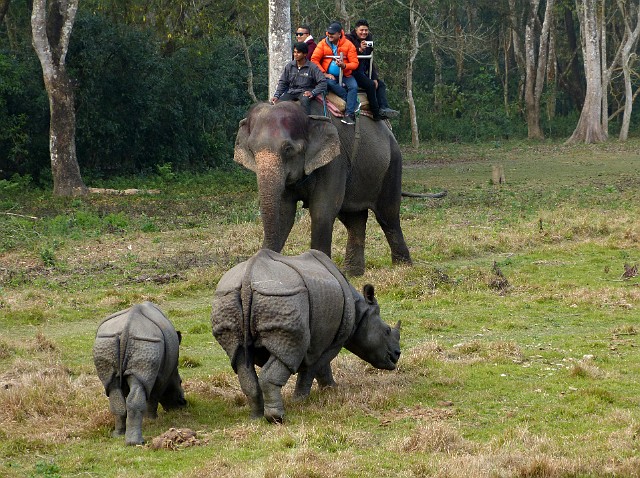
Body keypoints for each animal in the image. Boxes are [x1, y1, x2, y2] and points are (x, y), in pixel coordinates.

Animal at [92, 302, 188, 444]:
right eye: (180, 382)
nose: (183, 403)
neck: (173, 372)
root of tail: (127, 328)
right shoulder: (161, 377)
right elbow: (154, 396)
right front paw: (152, 420)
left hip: (108, 341)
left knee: (113, 387)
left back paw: (118, 435)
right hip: (146, 342)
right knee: (141, 387)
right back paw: (136, 442)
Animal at [210, 248, 400, 424]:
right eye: (387, 331)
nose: (397, 354)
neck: (360, 311)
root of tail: (248, 278)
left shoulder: (320, 340)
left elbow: (319, 367)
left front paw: (328, 390)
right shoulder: (331, 343)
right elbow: (315, 367)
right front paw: (306, 398)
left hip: (227, 299)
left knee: (239, 357)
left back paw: (255, 418)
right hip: (284, 297)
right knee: (289, 354)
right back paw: (277, 418)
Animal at [235, 100, 444, 276]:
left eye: (288, 149)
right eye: (251, 150)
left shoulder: (336, 160)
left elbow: (322, 210)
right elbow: (284, 213)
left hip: (392, 164)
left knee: (388, 216)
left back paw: (403, 267)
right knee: (355, 219)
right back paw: (353, 273)